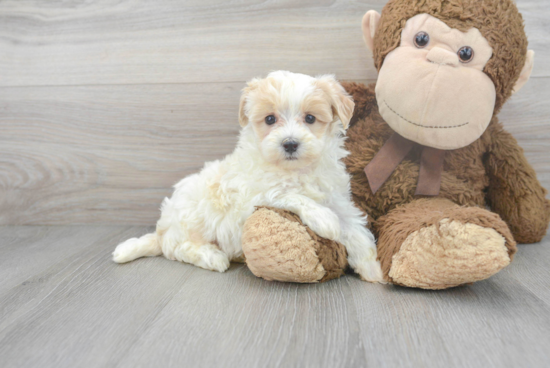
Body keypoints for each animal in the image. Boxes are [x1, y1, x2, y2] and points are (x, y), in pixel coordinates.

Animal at [113, 71, 384, 282]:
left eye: (310, 118)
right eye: (270, 119)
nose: (290, 143)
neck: (296, 170)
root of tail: (162, 230)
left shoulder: (338, 200)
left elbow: (356, 231)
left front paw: (373, 270)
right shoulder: (256, 193)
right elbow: (292, 195)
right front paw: (325, 220)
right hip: (189, 219)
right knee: (177, 249)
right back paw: (212, 257)